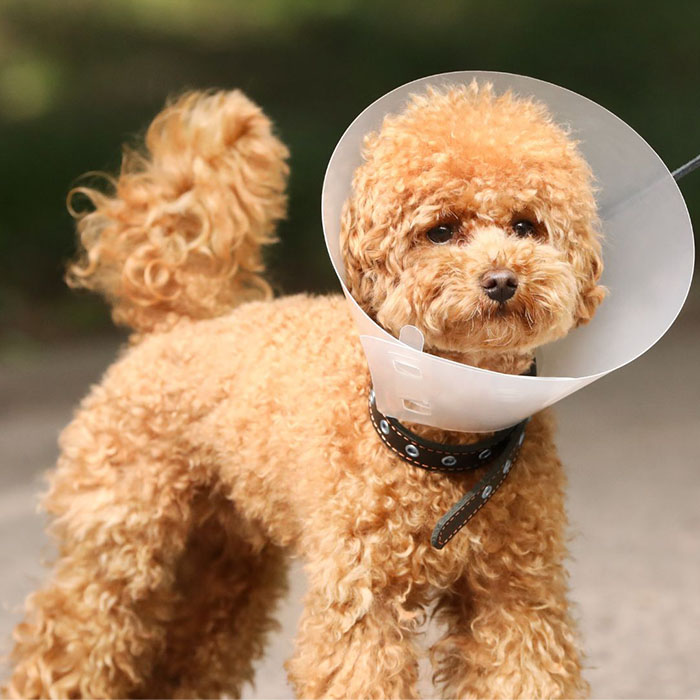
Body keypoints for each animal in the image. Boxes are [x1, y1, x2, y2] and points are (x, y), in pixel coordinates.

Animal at [5, 83, 604, 700]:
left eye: (526, 226)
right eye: (440, 230)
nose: (503, 279)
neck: (443, 445)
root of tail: (176, 324)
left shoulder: (517, 598)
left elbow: (525, 672)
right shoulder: (360, 599)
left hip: (224, 569)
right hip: (118, 548)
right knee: (66, 643)